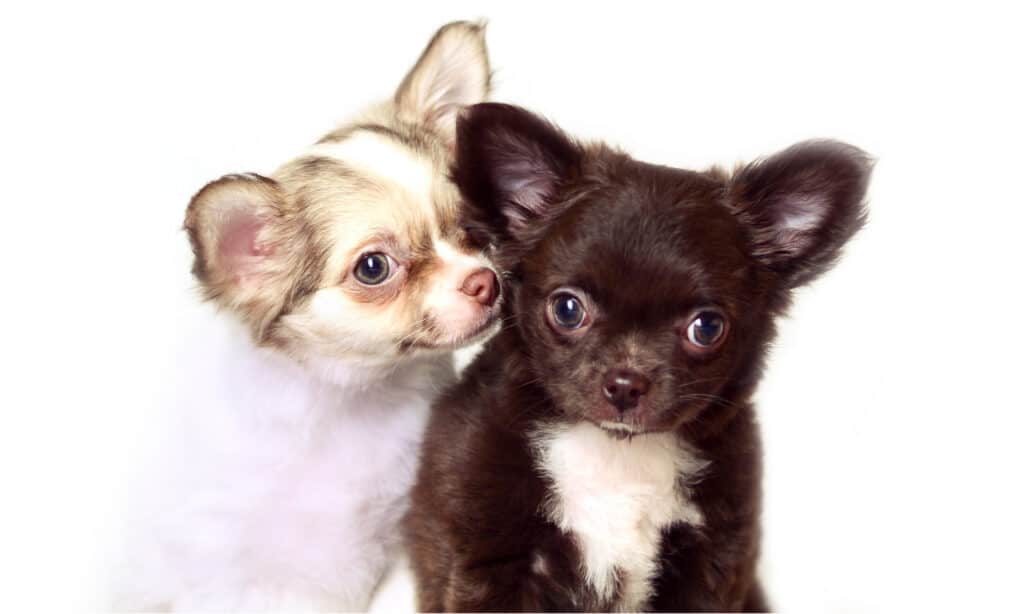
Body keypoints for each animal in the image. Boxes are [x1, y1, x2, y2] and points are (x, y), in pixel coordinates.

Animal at [114, 21, 497, 609]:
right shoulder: (221, 567)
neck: (349, 403)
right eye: (373, 268)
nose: (486, 281)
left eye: (474, 228)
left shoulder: (400, 539)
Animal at [407, 103, 872, 609]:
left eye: (707, 328)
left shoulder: (710, 564)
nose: (626, 385)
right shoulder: (492, 560)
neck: (616, 455)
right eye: (567, 309)